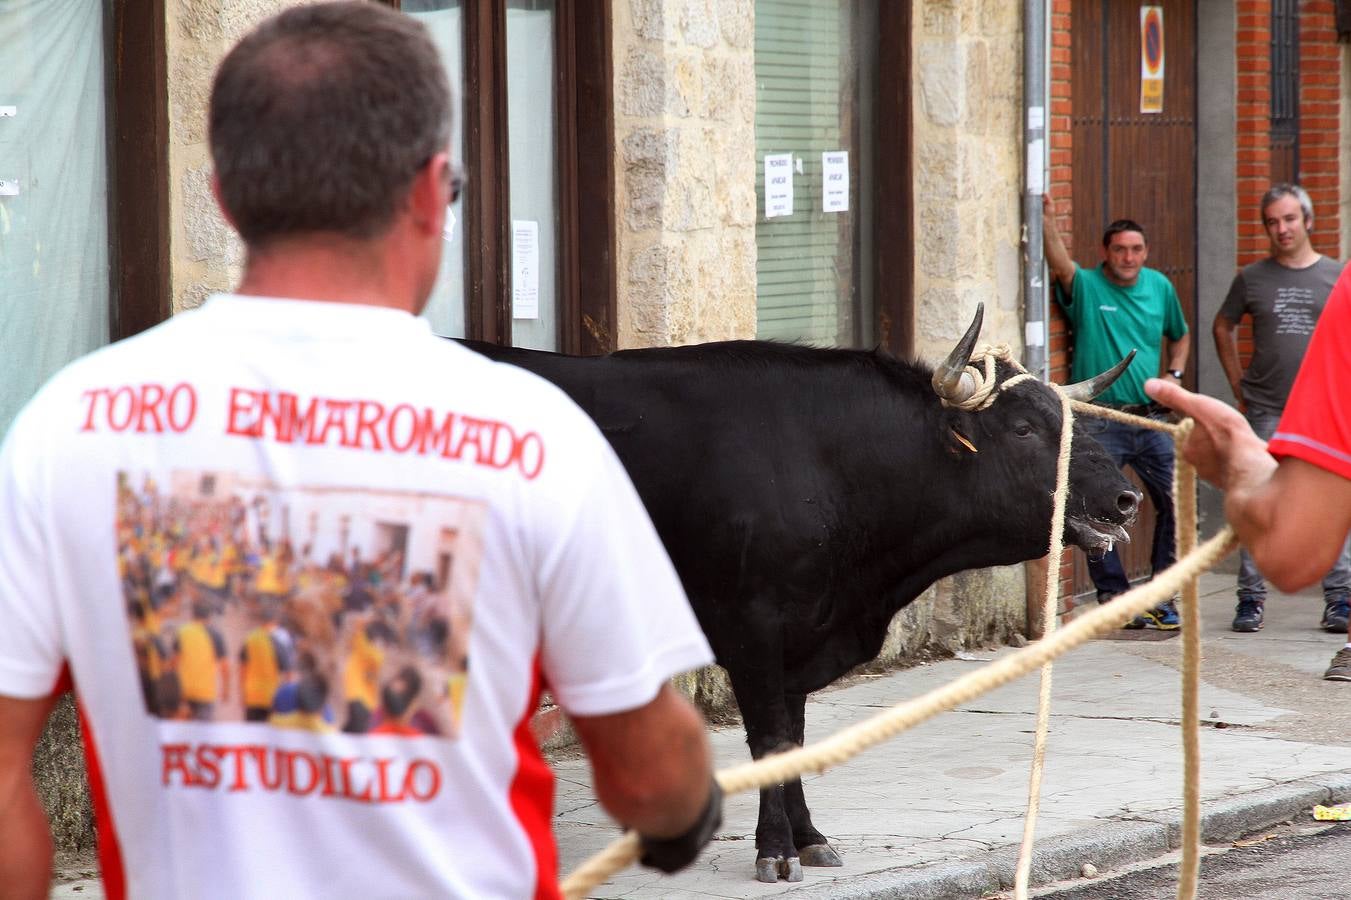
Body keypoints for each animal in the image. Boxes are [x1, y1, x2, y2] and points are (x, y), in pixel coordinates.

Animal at [459, 305, 1134, 881]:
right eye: (1021, 429)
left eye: (1070, 421)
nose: (1125, 498)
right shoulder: (753, 627)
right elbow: (771, 738)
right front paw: (777, 850)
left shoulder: (804, 632)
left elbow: (797, 739)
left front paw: (810, 837)